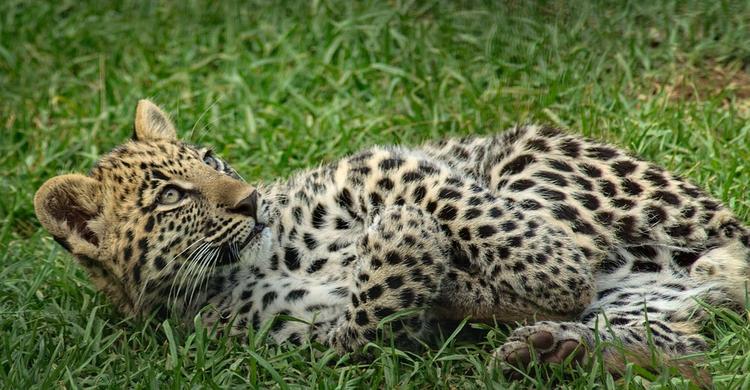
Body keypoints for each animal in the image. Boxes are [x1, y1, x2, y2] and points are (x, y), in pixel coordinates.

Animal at [33, 99, 750, 382]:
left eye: (212, 160)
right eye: (172, 197)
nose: (250, 200)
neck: (251, 262)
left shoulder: (377, 166)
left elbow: (456, 202)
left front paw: (544, 268)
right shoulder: (313, 341)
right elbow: (370, 313)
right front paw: (410, 246)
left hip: (532, 160)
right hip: (647, 310)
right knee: (689, 346)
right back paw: (550, 349)